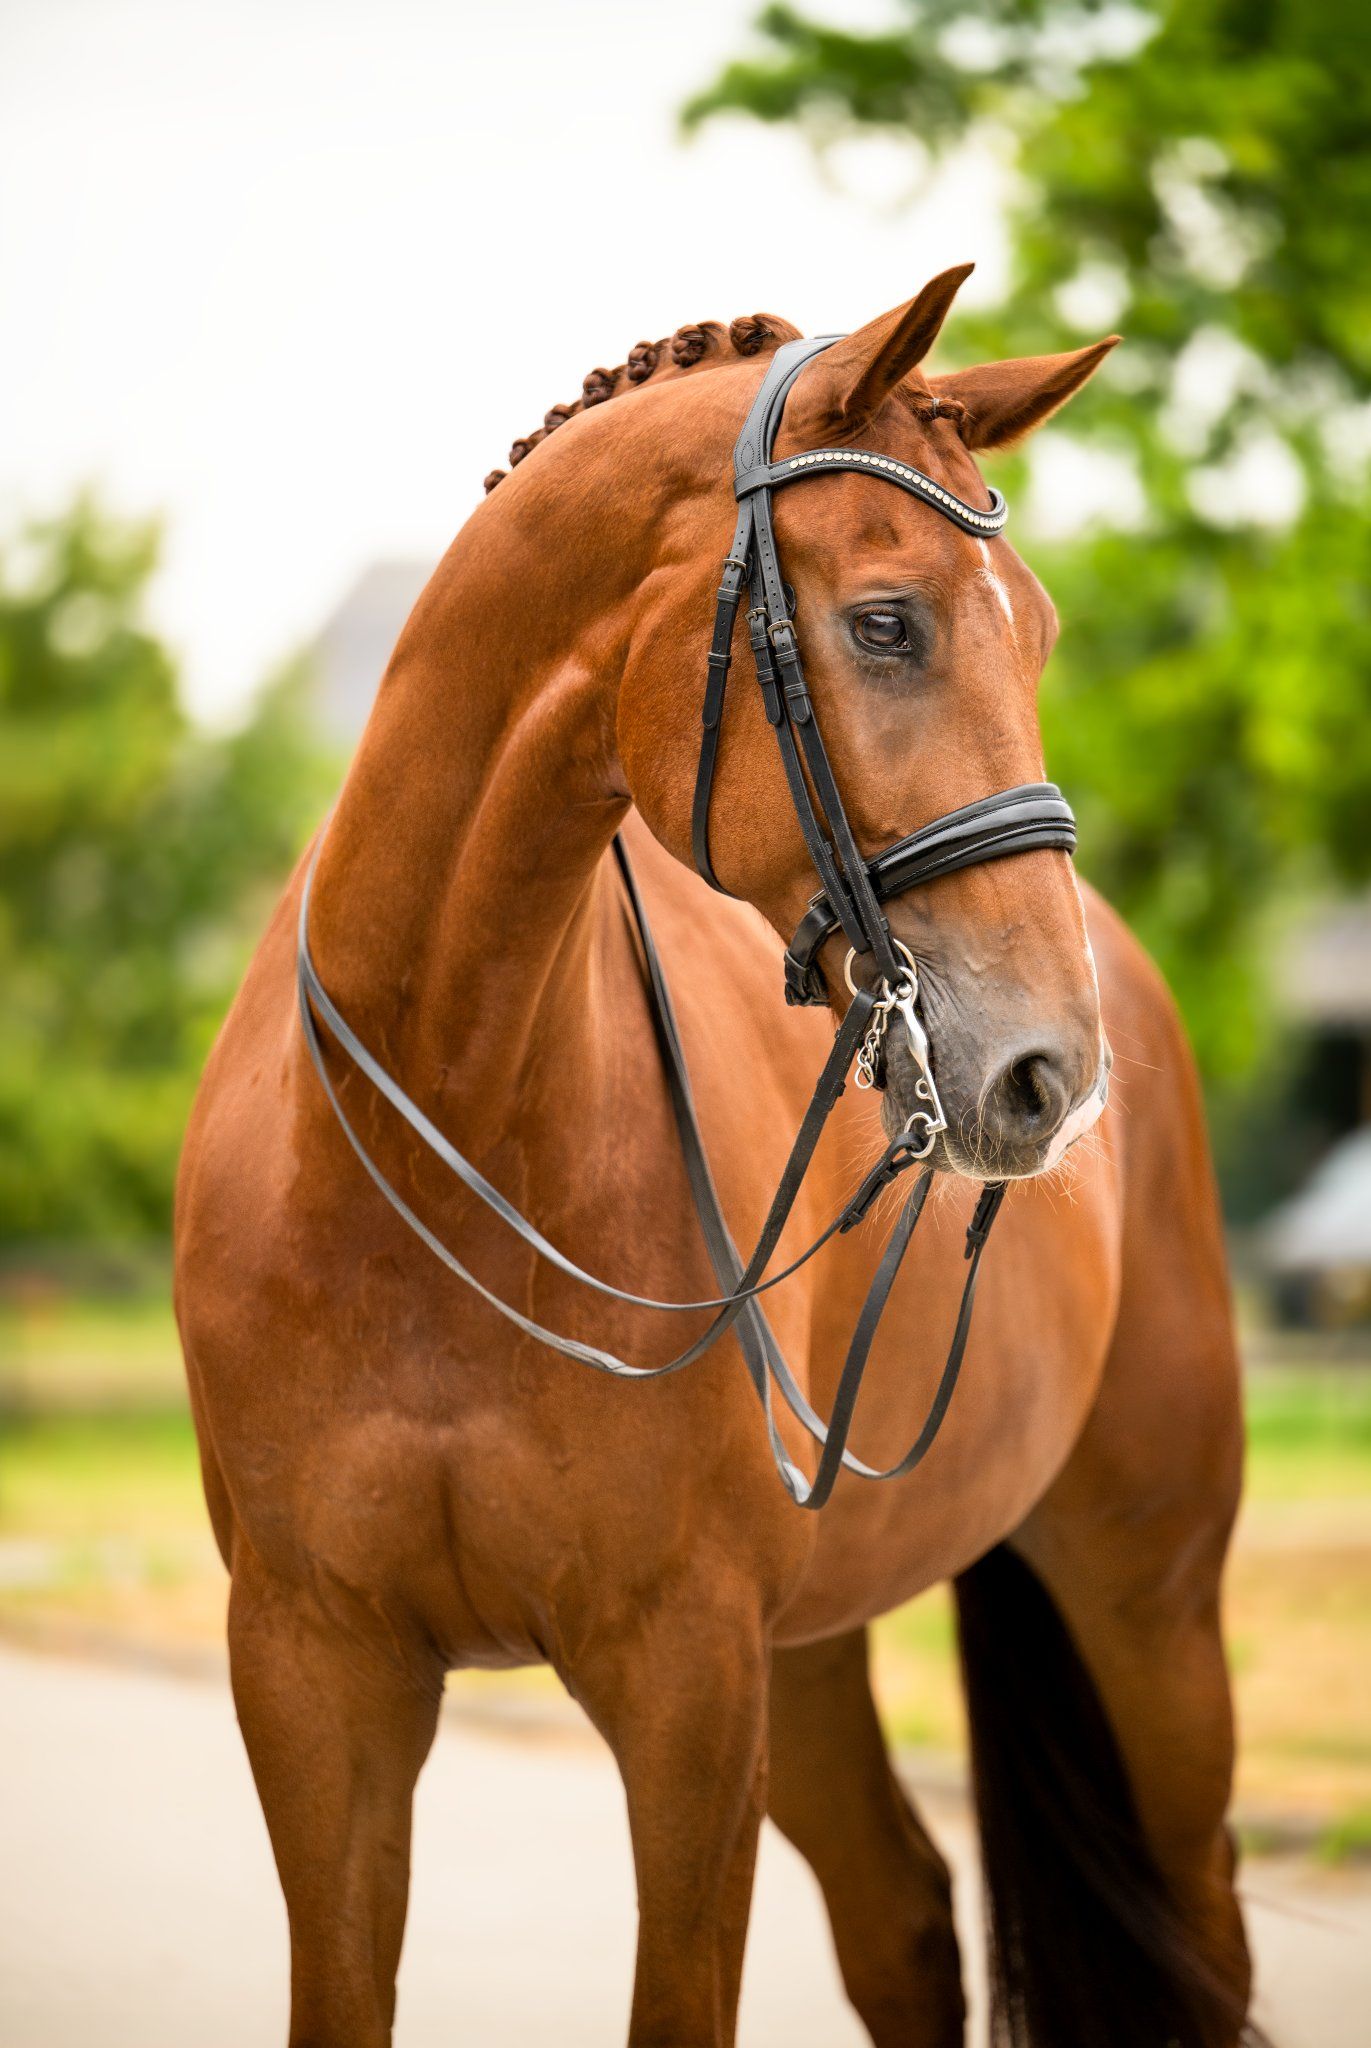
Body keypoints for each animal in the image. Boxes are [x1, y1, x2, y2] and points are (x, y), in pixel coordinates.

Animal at [175, 266, 1256, 2047]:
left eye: (1034, 632)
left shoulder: (688, 1692)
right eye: (885, 622)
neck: (443, 1112)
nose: (1047, 1075)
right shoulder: (311, 1677)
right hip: (811, 1655)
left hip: (1147, 1604)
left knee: (1201, 1924)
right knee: (900, 1918)